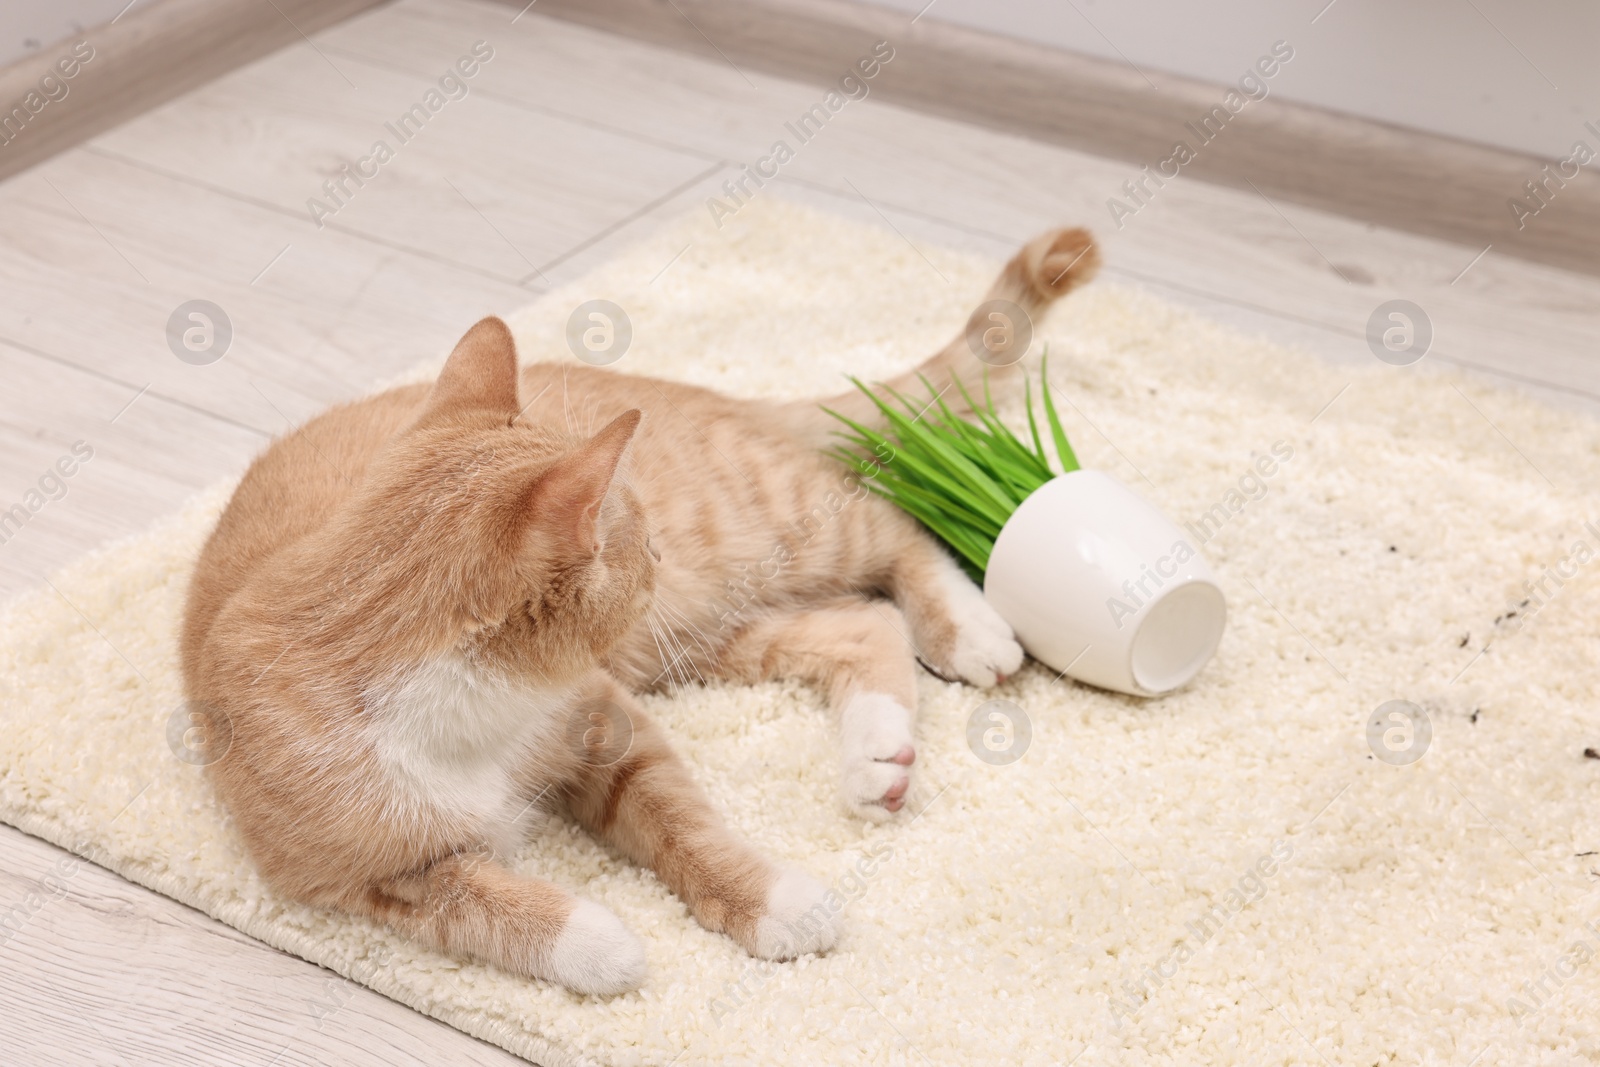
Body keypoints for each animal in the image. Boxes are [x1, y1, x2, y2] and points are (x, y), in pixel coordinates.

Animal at [178, 225, 1100, 991]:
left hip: (754, 539)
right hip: (690, 635)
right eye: (633, 540)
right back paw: (878, 750)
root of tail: (702, 392)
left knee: (896, 527)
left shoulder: (610, 724)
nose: (654, 555)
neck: (470, 709)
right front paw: (597, 941)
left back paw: (969, 627)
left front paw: (773, 900)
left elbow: (681, 823)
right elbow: (476, 906)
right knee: (859, 622)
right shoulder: (357, 878)